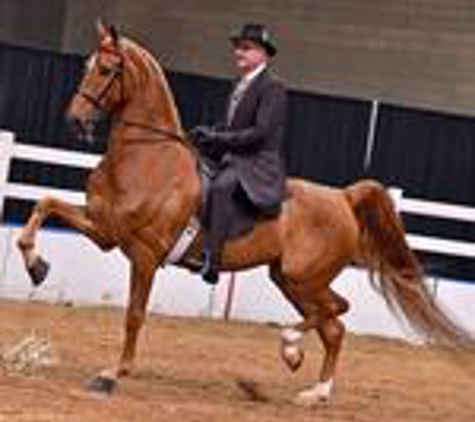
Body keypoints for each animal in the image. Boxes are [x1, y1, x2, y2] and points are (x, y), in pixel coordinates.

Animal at [16, 22, 474, 406]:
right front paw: (37, 267)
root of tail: (344, 197)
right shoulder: (105, 231)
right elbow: (43, 205)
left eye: (109, 69)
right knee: (333, 324)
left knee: (335, 312)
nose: (75, 120)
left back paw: (291, 347)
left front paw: (113, 373)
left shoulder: (144, 253)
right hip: (288, 277)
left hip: (303, 276)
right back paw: (314, 388)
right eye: (87, 66)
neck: (147, 157)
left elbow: (134, 314)